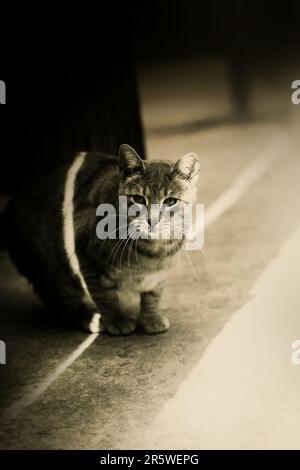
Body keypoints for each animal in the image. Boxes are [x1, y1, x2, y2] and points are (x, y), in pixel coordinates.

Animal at [5, 144, 199, 334]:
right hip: (54, 271)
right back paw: (90, 318)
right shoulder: (86, 258)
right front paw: (116, 320)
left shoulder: (158, 276)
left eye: (170, 201)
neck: (152, 251)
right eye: (138, 199)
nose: (152, 220)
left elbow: (153, 295)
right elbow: (105, 296)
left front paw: (151, 318)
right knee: (64, 304)